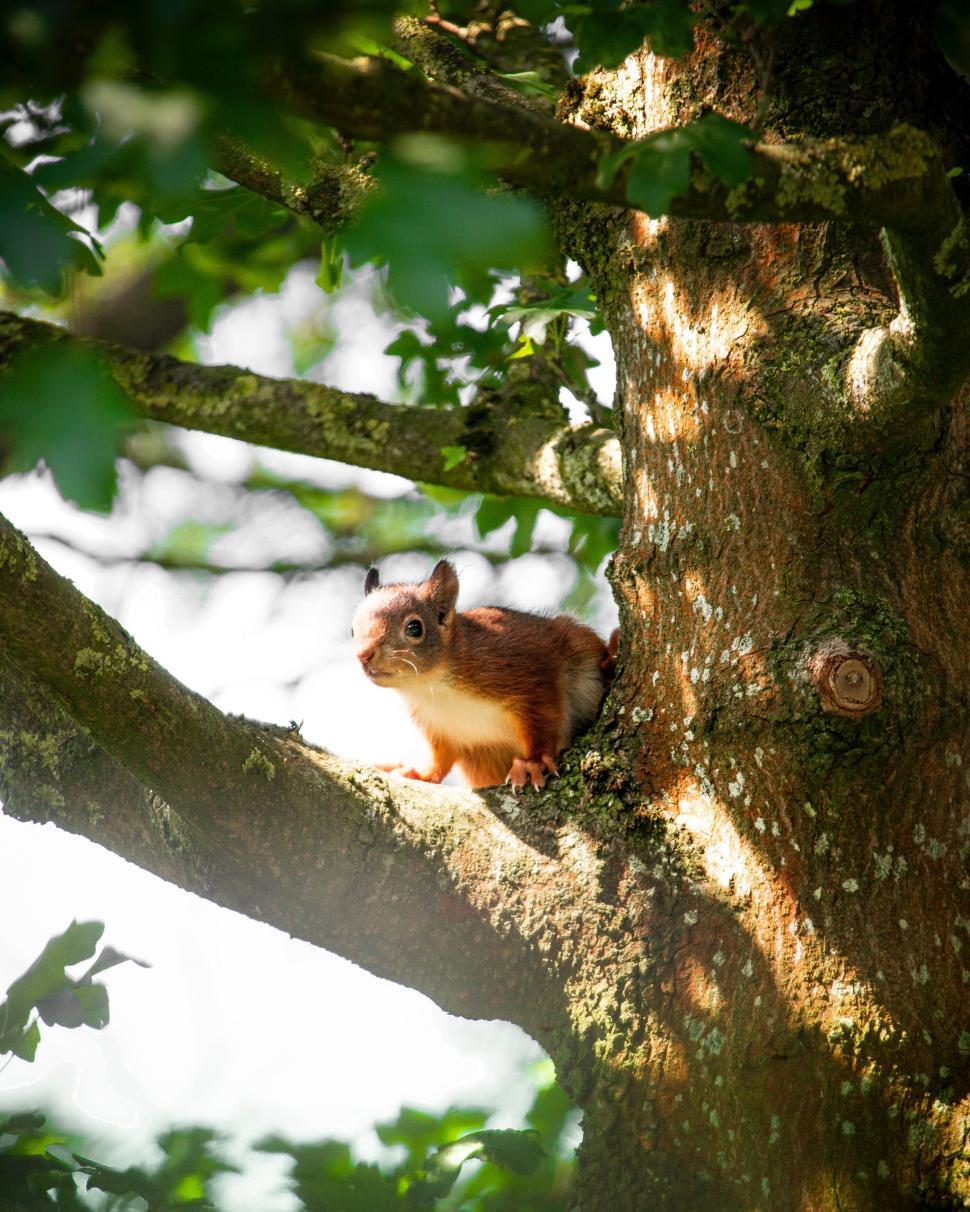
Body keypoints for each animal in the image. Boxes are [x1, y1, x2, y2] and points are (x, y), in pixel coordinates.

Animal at [351, 559, 618, 790]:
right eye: (353, 629)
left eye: (414, 627)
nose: (364, 654)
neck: (432, 685)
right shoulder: (437, 725)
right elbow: (441, 758)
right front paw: (419, 773)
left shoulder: (528, 670)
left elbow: (544, 718)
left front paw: (533, 762)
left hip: (577, 642)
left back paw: (611, 658)